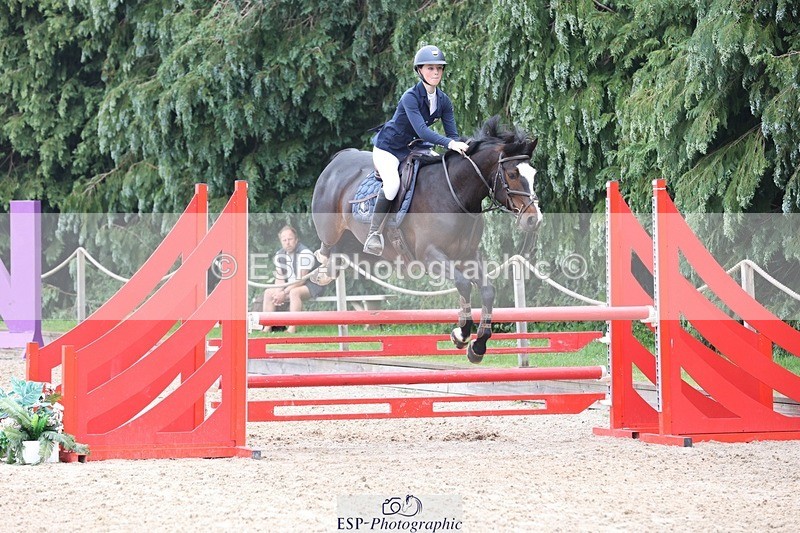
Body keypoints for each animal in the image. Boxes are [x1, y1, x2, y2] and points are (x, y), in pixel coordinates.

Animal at [311, 116, 542, 363]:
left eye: (534, 174)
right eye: (512, 175)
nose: (533, 220)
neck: (456, 194)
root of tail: (339, 159)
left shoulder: (468, 256)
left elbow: (488, 291)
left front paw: (477, 347)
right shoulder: (430, 255)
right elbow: (463, 284)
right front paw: (461, 335)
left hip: (357, 244)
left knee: (341, 253)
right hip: (331, 229)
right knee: (325, 248)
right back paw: (322, 272)